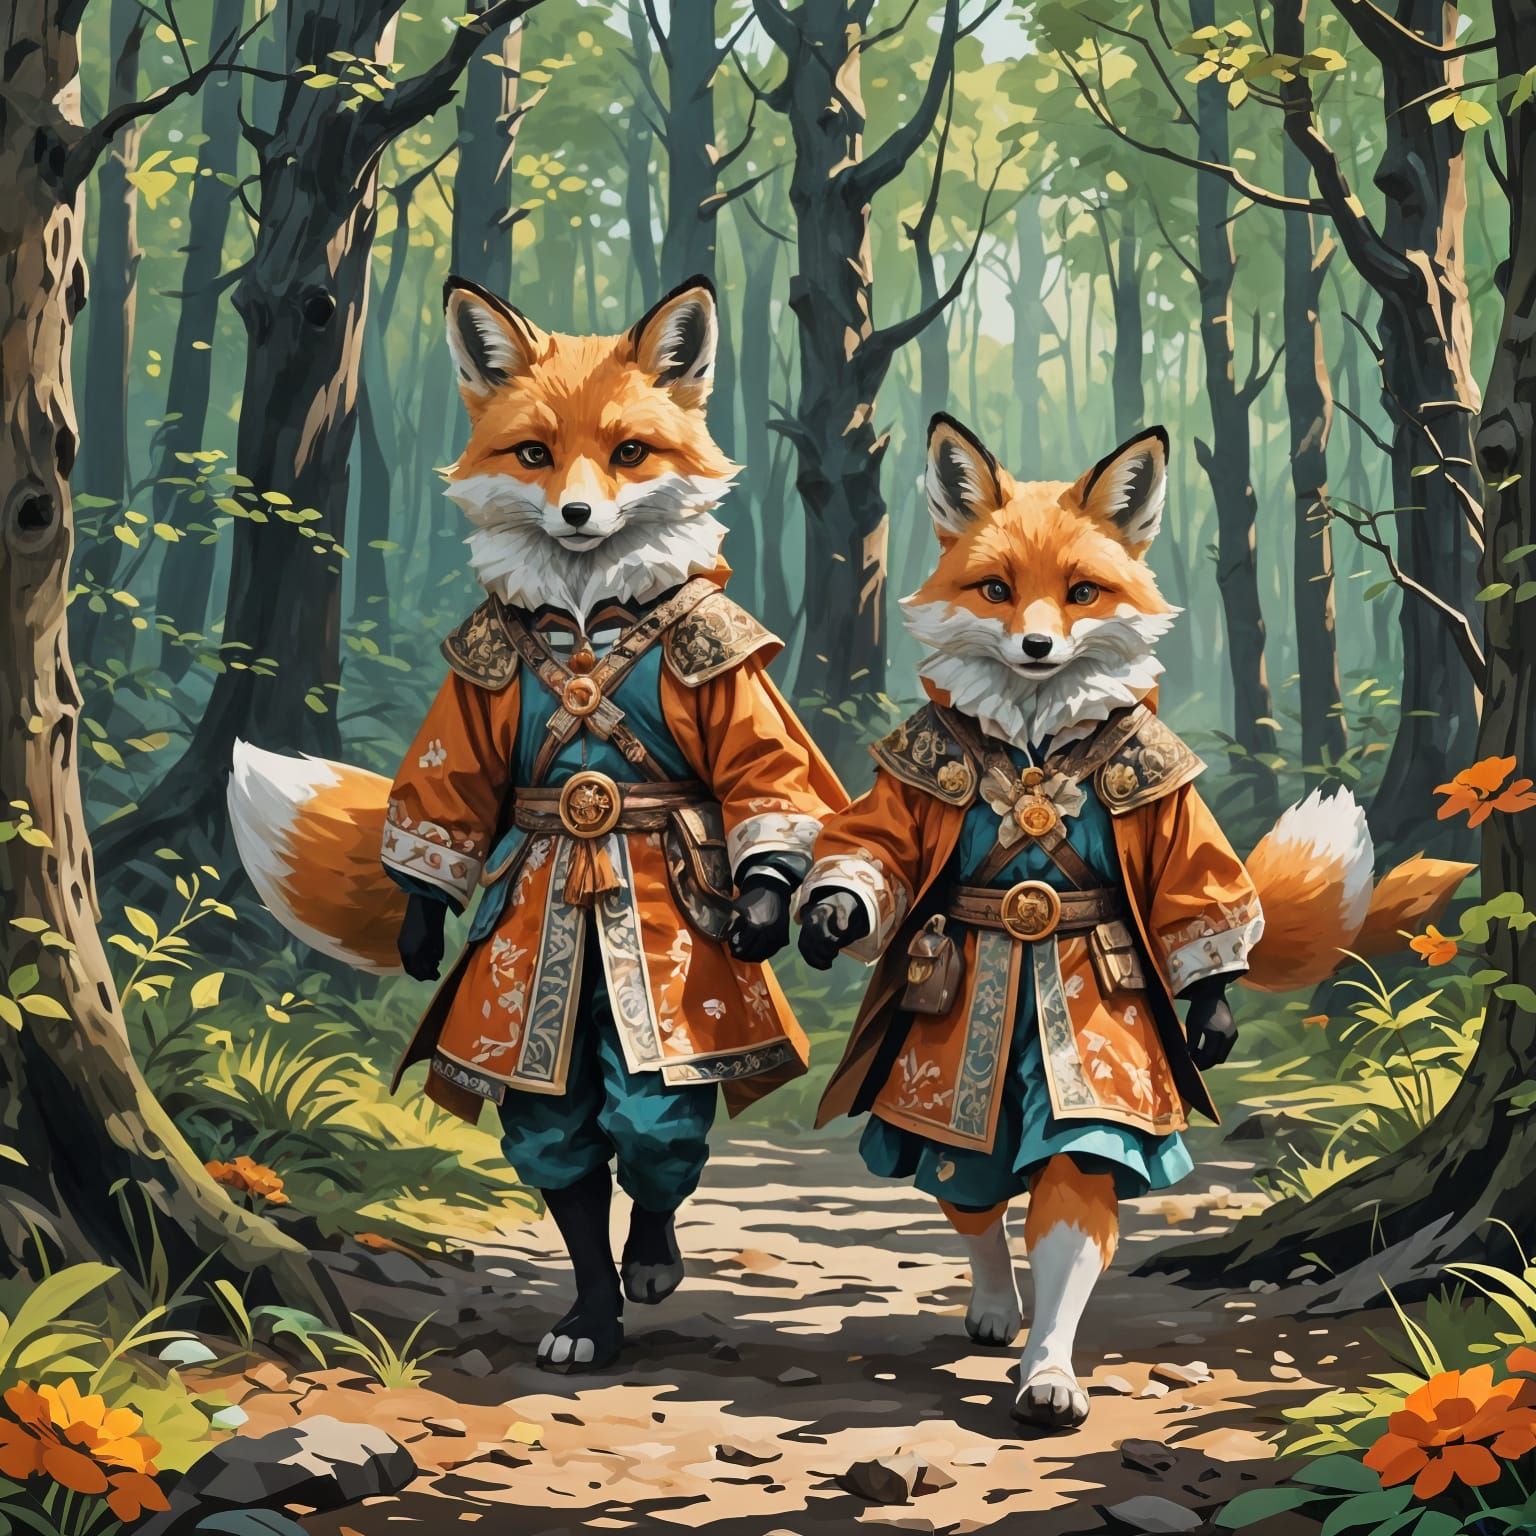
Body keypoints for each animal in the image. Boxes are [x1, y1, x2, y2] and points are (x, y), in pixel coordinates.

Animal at [230, 276, 844, 1374]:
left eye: (630, 452)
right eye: (534, 455)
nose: (577, 512)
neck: (590, 616)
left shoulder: (725, 666)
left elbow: (762, 777)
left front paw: (766, 909)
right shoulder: (471, 688)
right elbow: (448, 801)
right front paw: (591, 1317)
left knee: (654, 1135)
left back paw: (654, 1262)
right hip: (527, 1042)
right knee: (560, 1141)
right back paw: (599, 1307)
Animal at [797, 415, 1471, 1429]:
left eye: (1082, 592)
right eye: (996, 590)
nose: (1039, 646)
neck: (1037, 734)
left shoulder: (1159, 800)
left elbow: (1074, 1212)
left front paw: (1050, 1376)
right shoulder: (918, 773)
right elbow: (875, 847)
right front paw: (832, 913)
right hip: (943, 1112)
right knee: (968, 1194)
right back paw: (991, 1306)